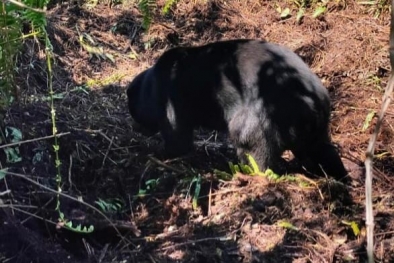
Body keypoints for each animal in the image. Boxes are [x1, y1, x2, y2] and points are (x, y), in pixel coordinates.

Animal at [127, 39, 348, 182]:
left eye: (133, 111)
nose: (134, 127)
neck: (152, 85)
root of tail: (310, 99)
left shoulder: (172, 98)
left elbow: (177, 139)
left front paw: (156, 152)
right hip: (315, 128)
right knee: (321, 151)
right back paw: (339, 178)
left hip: (261, 115)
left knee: (252, 146)